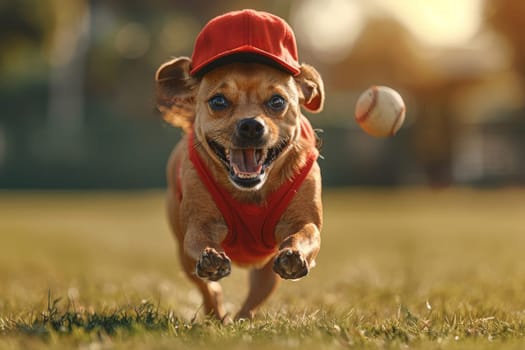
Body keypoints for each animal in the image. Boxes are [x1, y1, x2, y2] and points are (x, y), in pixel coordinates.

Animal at [154, 8, 324, 320]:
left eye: (277, 101)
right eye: (218, 101)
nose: (250, 125)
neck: (250, 192)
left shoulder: (305, 221)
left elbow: (304, 234)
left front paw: (294, 255)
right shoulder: (198, 225)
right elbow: (200, 240)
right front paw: (211, 258)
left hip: (265, 273)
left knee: (253, 300)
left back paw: (241, 320)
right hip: (184, 258)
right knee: (208, 289)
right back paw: (218, 315)